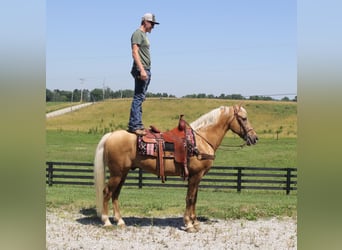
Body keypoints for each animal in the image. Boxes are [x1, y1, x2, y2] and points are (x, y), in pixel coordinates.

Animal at [93, 104, 256, 231]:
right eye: (243, 118)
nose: (254, 138)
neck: (201, 140)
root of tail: (111, 135)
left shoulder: (197, 177)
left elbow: (194, 198)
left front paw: (195, 222)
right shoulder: (195, 175)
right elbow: (190, 198)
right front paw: (189, 224)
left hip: (123, 173)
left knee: (115, 194)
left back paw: (120, 221)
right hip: (117, 174)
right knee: (107, 192)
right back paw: (107, 222)